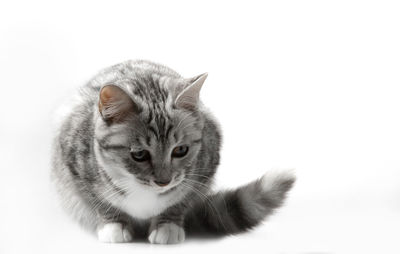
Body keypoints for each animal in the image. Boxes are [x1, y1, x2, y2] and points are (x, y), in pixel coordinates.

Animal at [51, 59, 296, 244]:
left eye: (181, 150)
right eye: (139, 154)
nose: (164, 182)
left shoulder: (204, 168)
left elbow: (180, 200)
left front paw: (167, 225)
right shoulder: (73, 163)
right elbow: (99, 201)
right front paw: (114, 225)